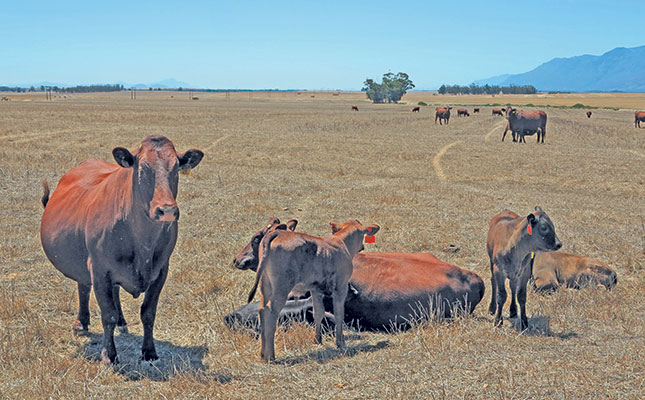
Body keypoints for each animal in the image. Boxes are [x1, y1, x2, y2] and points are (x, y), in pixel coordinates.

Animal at [39, 136, 204, 364]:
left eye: (176, 167)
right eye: (142, 168)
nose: (167, 210)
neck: (143, 243)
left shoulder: (161, 270)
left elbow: (148, 312)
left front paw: (149, 352)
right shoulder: (99, 270)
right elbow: (107, 314)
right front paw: (109, 355)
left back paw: (120, 322)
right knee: (83, 286)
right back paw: (81, 323)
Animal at [245, 219, 378, 362]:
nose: (362, 246)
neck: (341, 242)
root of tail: (278, 233)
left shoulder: (315, 289)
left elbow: (318, 312)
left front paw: (317, 339)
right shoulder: (340, 287)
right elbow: (339, 314)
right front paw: (340, 342)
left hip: (266, 285)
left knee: (262, 310)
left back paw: (262, 353)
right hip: (281, 287)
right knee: (269, 312)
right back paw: (270, 356)